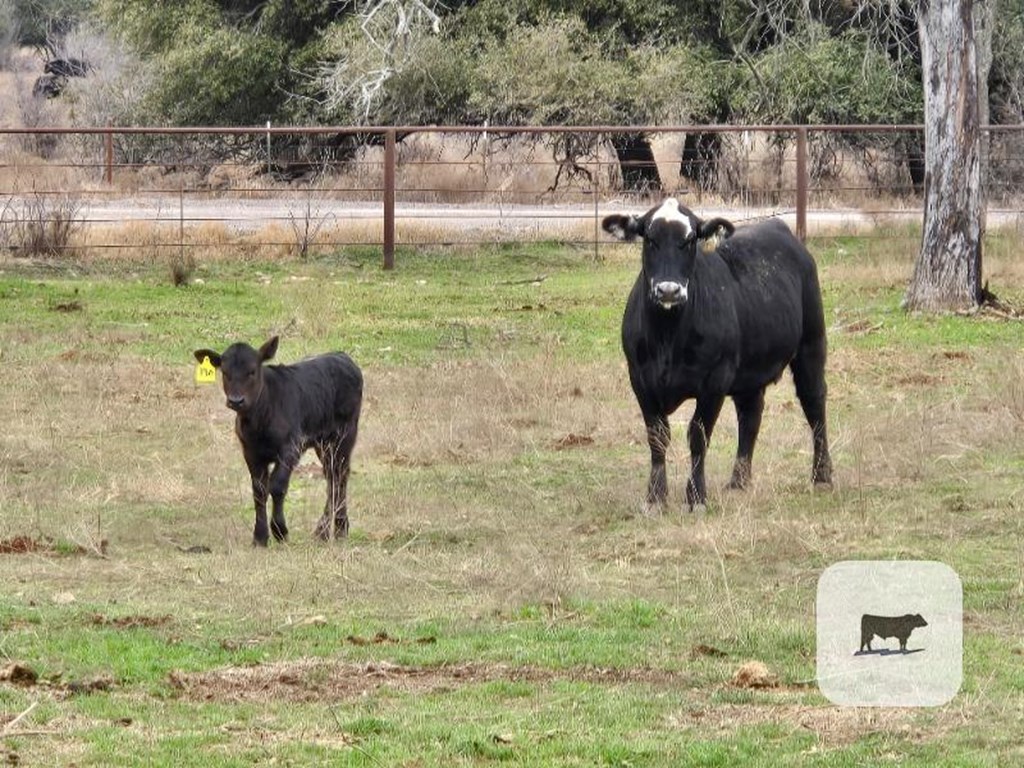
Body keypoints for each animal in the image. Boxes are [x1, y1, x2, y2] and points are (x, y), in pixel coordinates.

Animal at [192, 335, 364, 548]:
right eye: (225, 372)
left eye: (252, 371)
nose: (236, 400)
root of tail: (342, 356)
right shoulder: (251, 452)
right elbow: (259, 490)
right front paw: (260, 536)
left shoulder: (291, 447)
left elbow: (277, 485)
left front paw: (280, 531)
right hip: (323, 443)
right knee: (332, 475)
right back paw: (330, 530)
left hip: (345, 434)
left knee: (339, 476)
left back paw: (333, 530)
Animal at [598, 198, 831, 512]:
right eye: (649, 238)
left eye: (690, 239)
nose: (669, 290)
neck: (667, 338)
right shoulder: (640, 378)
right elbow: (657, 436)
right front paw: (655, 497)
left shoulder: (714, 381)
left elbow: (698, 436)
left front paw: (696, 496)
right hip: (750, 371)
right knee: (750, 416)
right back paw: (739, 481)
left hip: (811, 345)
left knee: (814, 404)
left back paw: (822, 475)